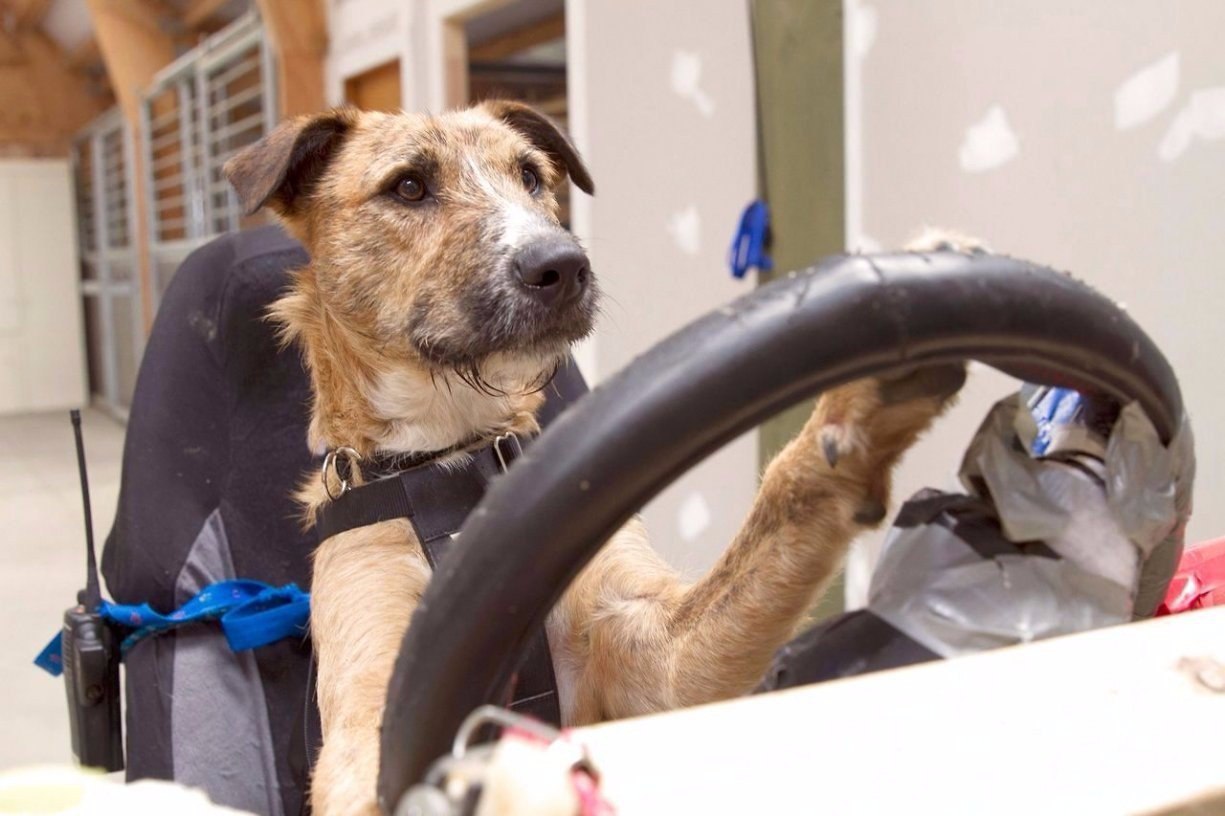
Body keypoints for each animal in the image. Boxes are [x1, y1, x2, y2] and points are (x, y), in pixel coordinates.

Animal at [220, 98, 965, 808]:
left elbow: (777, 510)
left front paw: (865, 394)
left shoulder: (656, 656)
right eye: (407, 186)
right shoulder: (370, 723)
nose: (562, 265)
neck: (452, 461)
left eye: (531, 176)